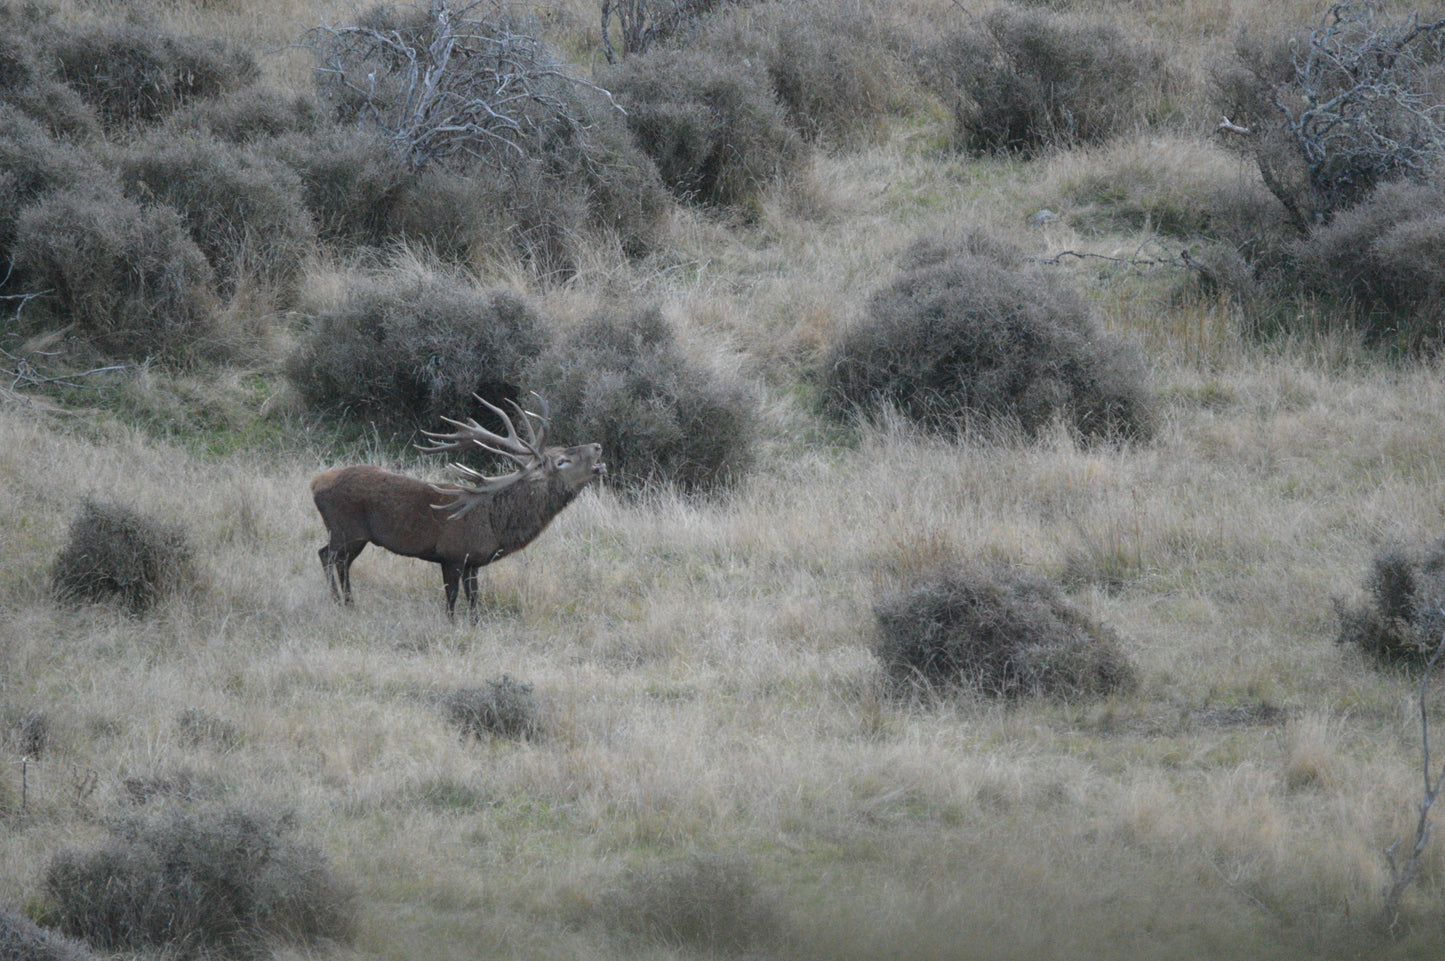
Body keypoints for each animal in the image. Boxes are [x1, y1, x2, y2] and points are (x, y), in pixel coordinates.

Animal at [310, 394, 604, 620]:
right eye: (562, 461)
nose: (598, 446)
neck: (494, 526)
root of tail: (315, 484)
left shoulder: (472, 562)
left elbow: (474, 601)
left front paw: (475, 625)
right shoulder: (451, 554)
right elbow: (451, 602)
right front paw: (452, 626)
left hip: (351, 535)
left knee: (336, 560)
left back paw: (346, 602)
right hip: (347, 529)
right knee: (328, 556)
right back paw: (341, 602)